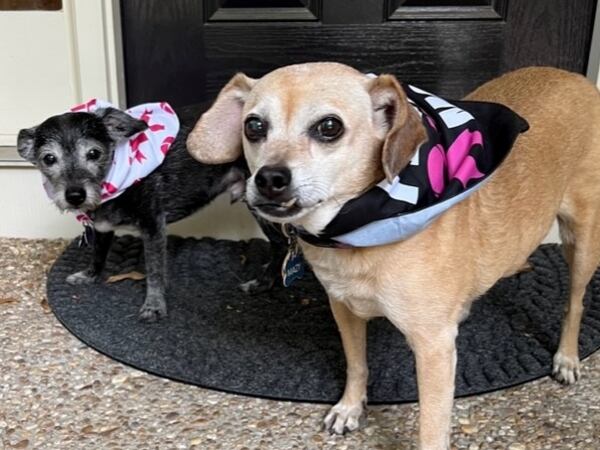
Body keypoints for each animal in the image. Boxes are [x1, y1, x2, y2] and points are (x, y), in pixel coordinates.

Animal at [18, 104, 286, 324]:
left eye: (94, 153)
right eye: (48, 159)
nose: (75, 195)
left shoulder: (153, 227)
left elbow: (155, 271)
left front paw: (154, 306)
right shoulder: (103, 227)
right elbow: (98, 254)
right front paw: (89, 275)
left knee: (282, 243)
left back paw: (263, 282)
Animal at [188, 64, 600, 450]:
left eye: (329, 127)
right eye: (254, 126)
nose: (269, 178)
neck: (355, 231)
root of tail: (575, 78)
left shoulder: (433, 349)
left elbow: (432, 426)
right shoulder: (344, 309)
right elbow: (357, 364)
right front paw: (351, 407)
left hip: (581, 242)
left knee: (575, 302)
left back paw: (566, 357)